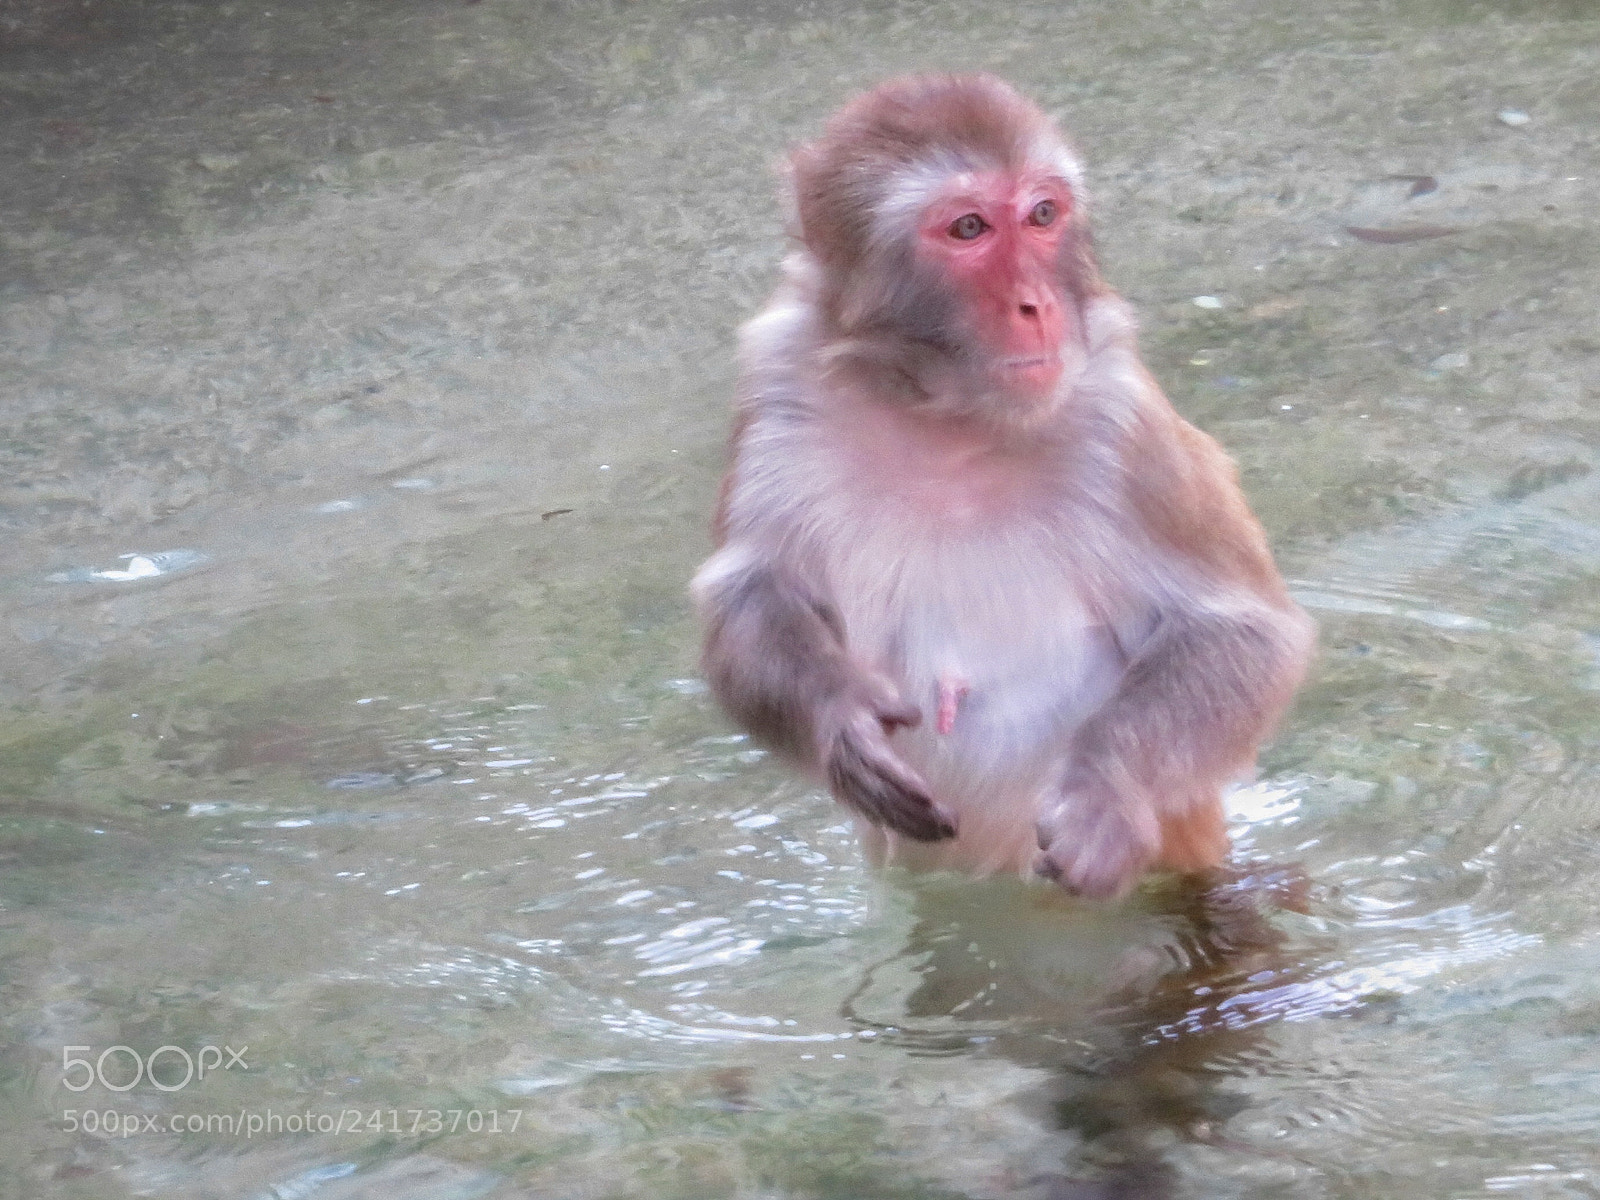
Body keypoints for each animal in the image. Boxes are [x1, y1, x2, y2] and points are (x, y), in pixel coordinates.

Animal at [691, 75, 1314, 900]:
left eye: (1043, 215)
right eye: (968, 228)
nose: (1035, 305)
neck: (944, 414)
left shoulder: (1118, 419)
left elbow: (1239, 628)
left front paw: (1104, 794)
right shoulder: (778, 377)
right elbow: (750, 588)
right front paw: (842, 720)